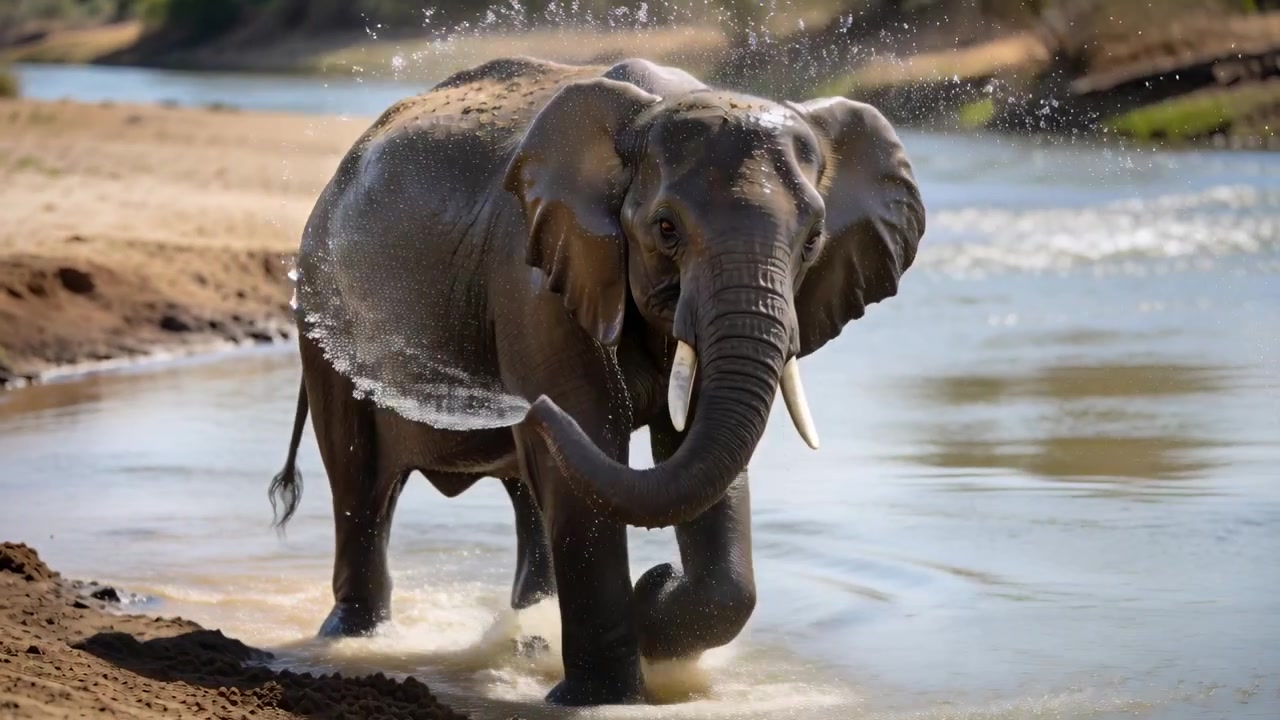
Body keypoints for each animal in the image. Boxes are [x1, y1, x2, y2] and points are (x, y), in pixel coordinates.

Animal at [268, 56, 924, 706]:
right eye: (666, 229)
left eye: (812, 240)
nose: (657, 576)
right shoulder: (533, 281)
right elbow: (588, 437)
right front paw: (605, 691)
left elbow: (694, 458)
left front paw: (652, 613)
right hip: (325, 314)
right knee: (361, 482)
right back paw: (355, 638)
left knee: (526, 494)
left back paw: (526, 633)